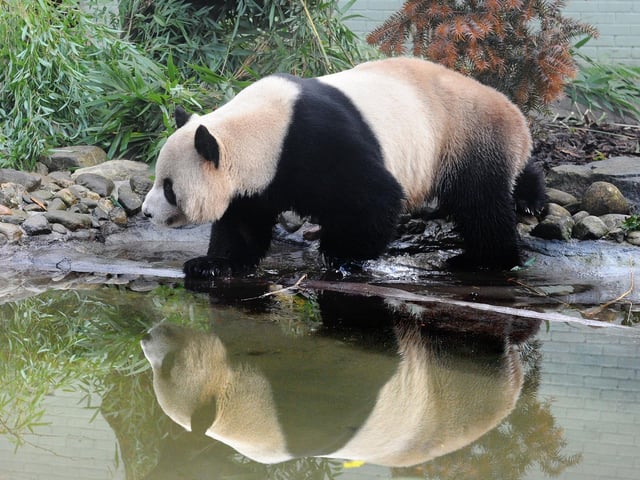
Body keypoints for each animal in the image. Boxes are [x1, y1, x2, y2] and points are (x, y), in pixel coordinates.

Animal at [141, 57, 546, 278]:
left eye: (169, 187)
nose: (145, 212)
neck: (260, 131)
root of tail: (513, 111)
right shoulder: (258, 179)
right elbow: (241, 225)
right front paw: (211, 265)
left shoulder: (318, 142)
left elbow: (376, 199)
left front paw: (341, 256)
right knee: (510, 178)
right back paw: (530, 199)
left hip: (462, 134)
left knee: (481, 203)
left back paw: (485, 260)